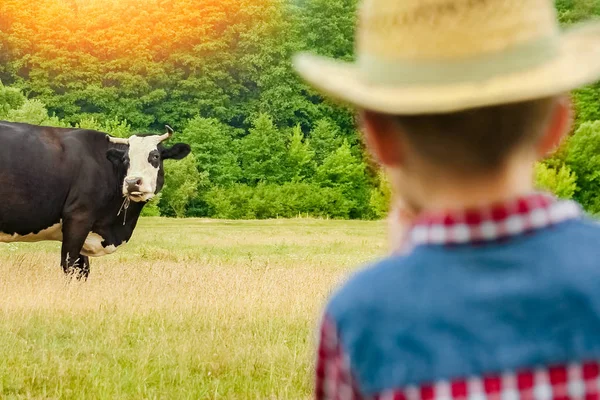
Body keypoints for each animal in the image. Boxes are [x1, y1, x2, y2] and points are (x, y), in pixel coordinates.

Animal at [0, 120, 190, 280]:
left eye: (155, 156)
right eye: (125, 159)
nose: (131, 182)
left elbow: (83, 270)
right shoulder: (78, 218)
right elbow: (70, 265)